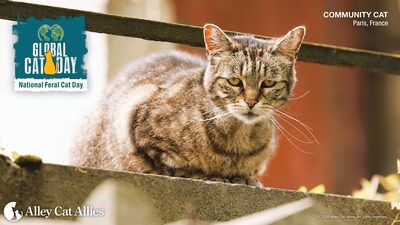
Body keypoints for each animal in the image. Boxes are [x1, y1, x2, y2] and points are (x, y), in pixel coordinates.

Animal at [70, 23, 304, 186]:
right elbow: (173, 165)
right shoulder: (135, 120)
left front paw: (243, 177)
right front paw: (206, 175)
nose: (251, 101)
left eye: (269, 83)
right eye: (235, 81)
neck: (237, 139)